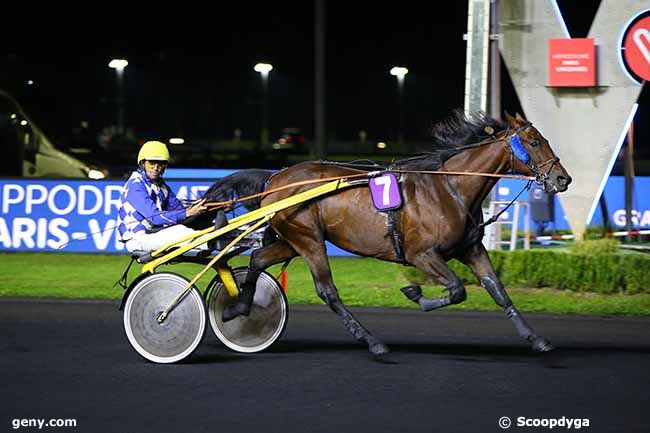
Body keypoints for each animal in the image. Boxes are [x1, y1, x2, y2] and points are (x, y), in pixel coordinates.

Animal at [196, 109, 568, 356]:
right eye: (534, 142)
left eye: (545, 140)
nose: (563, 178)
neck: (451, 189)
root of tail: (275, 177)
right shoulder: (423, 254)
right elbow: (457, 290)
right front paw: (416, 294)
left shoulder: (471, 249)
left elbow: (498, 292)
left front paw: (538, 339)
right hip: (309, 240)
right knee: (327, 291)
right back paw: (373, 341)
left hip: (292, 239)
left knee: (258, 259)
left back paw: (237, 308)